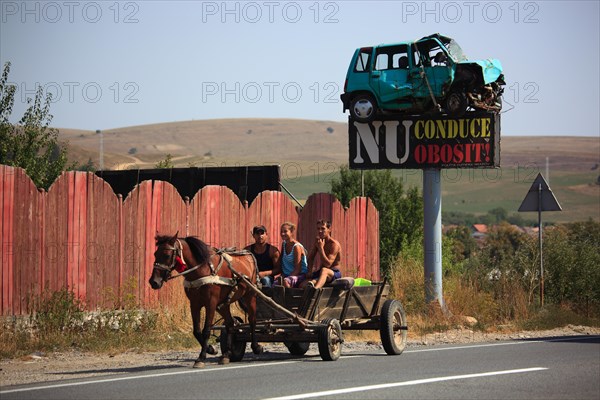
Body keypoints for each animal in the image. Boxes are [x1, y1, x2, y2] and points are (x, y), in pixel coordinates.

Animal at [148, 233, 262, 368]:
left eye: (166, 255)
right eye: (155, 254)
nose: (154, 282)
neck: (202, 270)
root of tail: (248, 255)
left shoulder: (210, 303)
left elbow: (206, 330)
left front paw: (201, 357)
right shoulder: (194, 304)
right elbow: (197, 331)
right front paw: (210, 349)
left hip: (250, 296)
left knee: (252, 320)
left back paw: (256, 347)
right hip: (223, 304)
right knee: (230, 324)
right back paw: (226, 354)